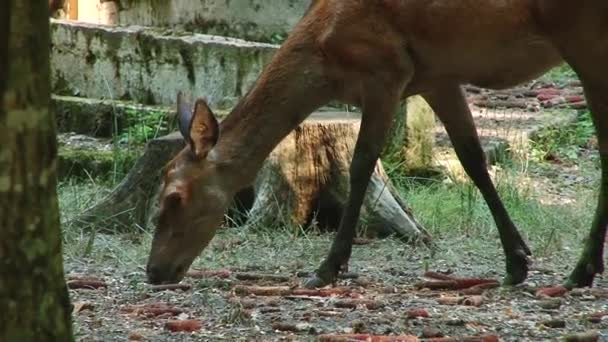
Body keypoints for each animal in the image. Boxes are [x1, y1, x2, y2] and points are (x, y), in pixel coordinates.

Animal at [146, 0, 608, 288]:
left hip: (585, 38)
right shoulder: (437, 77)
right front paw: (517, 260)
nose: (153, 271)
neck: (325, 56)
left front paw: (327, 268)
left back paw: (583, 269)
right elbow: (472, 158)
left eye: (173, 197)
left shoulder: (385, 71)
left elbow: (362, 164)